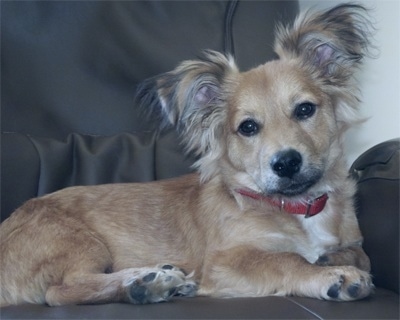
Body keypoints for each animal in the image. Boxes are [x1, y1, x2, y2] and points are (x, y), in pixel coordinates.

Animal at [0, 3, 376, 306]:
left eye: (305, 109)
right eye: (248, 127)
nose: (286, 163)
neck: (297, 207)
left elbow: (362, 253)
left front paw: (335, 260)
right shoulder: (224, 262)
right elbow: (287, 260)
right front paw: (333, 275)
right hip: (79, 240)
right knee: (60, 291)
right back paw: (144, 284)